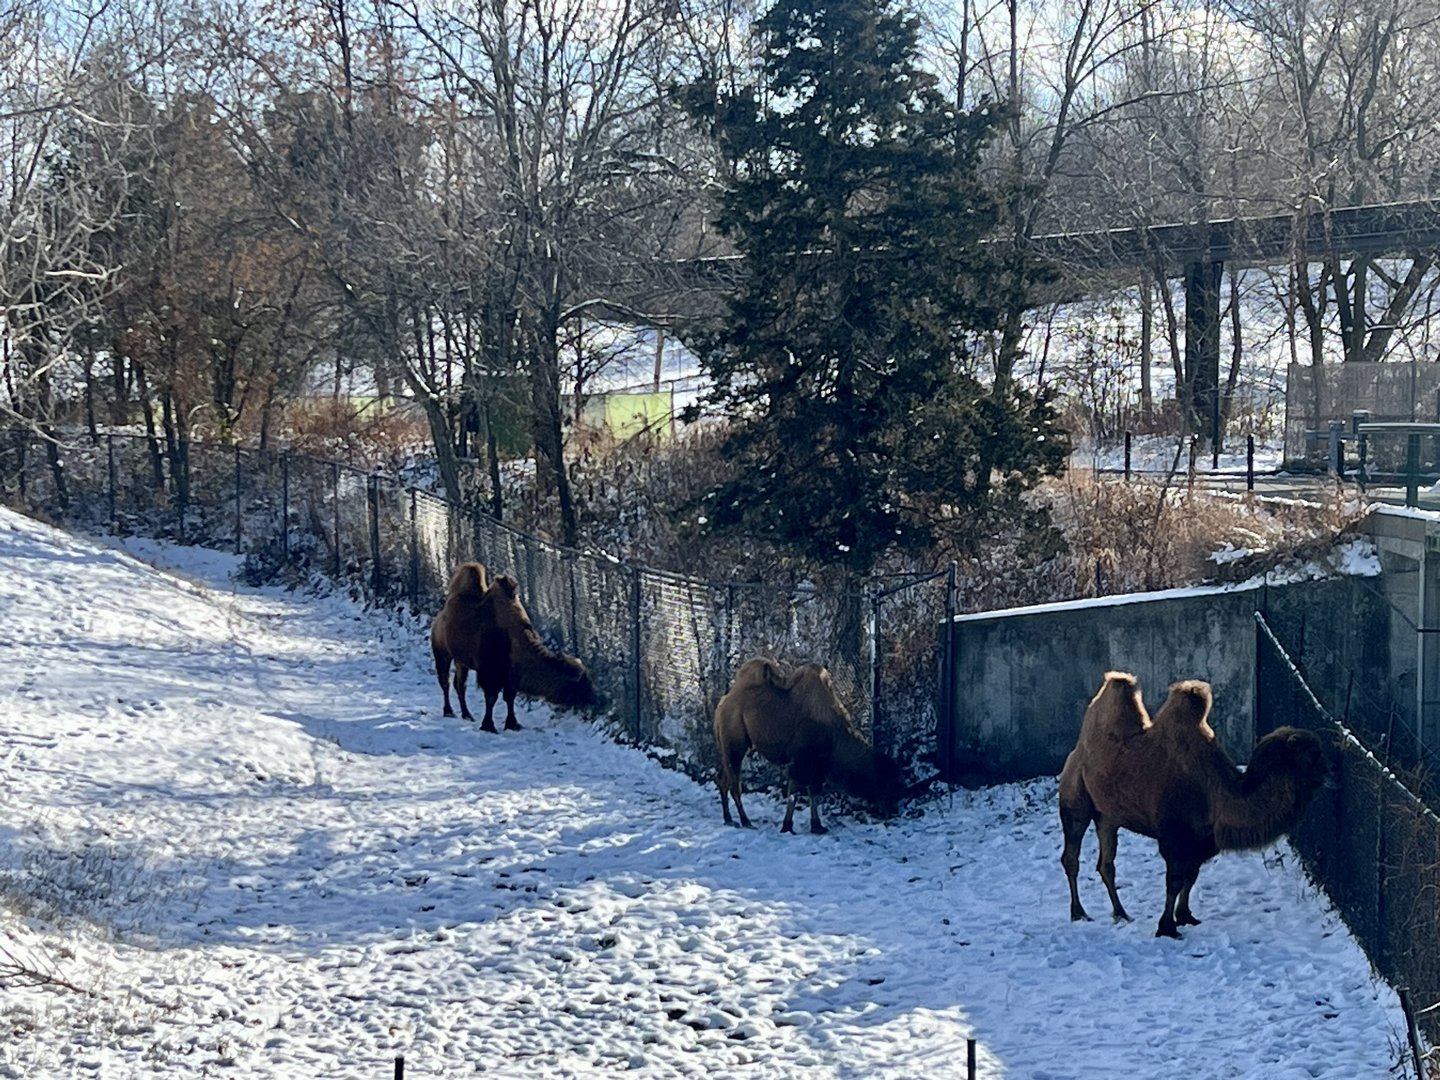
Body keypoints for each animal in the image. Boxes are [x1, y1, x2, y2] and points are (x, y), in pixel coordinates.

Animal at [713, 656, 907, 834]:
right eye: (888, 780)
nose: (894, 808)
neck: (835, 733)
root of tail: (723, 702)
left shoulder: (819, 762)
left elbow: (814, 792)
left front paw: (817, 826)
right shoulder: (802, 759)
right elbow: (794, 793)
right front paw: (787, 827)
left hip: (734, 747)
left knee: (723, 778)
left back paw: (728, 818)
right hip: (735, 744)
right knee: (734, 783)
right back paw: (746, 821)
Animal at [1059, 671, 1328, 938]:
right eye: (1312, 754)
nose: (1330, 771)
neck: (1215, 791)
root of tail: (1077, 749)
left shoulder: (1202, 838)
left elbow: (1191, 876)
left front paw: (1185, 916)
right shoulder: (1174, 835)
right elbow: (1175, 881)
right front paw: (1167, 928)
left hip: (1108, 816)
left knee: (1106, 863)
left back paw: (1121, 914)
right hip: (1075, 799)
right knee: (1071, 855)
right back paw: (1079, 913)